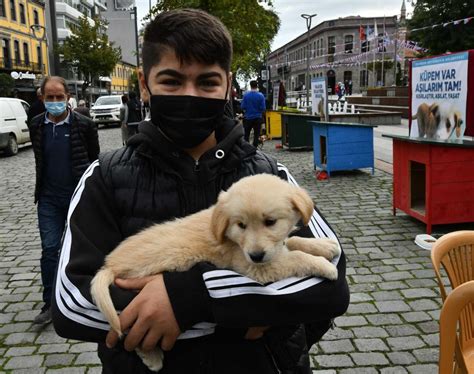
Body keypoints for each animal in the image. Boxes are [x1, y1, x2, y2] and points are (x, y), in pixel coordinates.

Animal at [90, 173, 340, 372]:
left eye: (270, 222)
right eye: (241, 225)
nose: (256, 255)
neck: (229, 235)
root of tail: (109, 265)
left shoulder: (271, 252)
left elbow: (293, 241)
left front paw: (324, 245)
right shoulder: (255, 268)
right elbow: (295, 257)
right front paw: (324, 265)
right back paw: (153, 357)